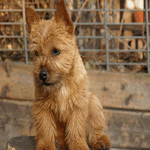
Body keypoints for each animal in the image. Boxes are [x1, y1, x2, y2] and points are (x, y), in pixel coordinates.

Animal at [25, 0, 110, 149]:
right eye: (36, 53)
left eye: (56, 51)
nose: (42, 75)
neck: (62, 84)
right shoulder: (42, 106)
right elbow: (46, 128)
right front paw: (46, 145)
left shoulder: (78, 105)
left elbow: (75, 129)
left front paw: (78, 145)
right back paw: (58, 142)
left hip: (93, 101)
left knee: (94, 129)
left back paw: (100, 141)